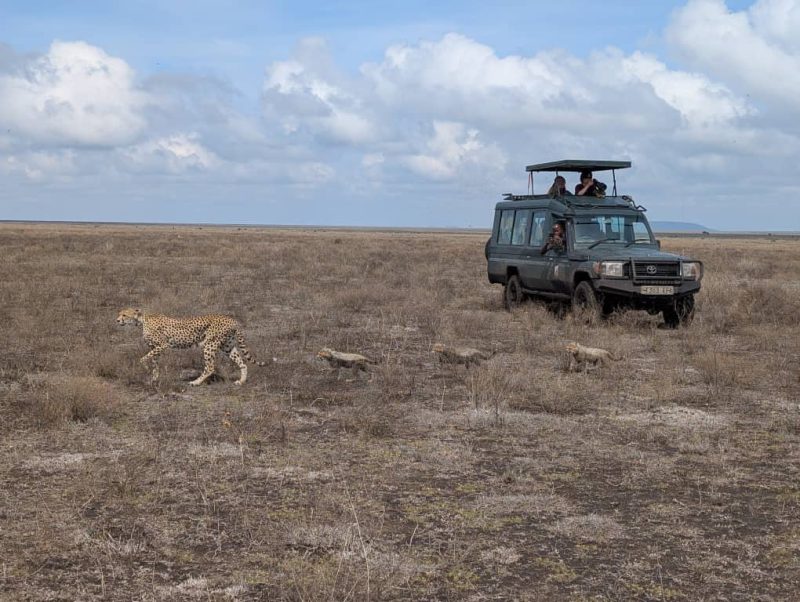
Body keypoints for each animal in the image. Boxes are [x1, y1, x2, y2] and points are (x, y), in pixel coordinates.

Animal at [116, 308, 265, 386]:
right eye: (119, 313)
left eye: (124, 314)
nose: (117, 320)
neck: (142, 320)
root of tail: (232, 319)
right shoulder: (155, 348)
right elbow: (155, 364)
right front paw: (154, 379)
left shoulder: (163, 345)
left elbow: (143, 359)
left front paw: (146, 368)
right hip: (227, 346)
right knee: (243, 363)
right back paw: (241, 381)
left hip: (209, 345)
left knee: (210, 367)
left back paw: (196, 382)